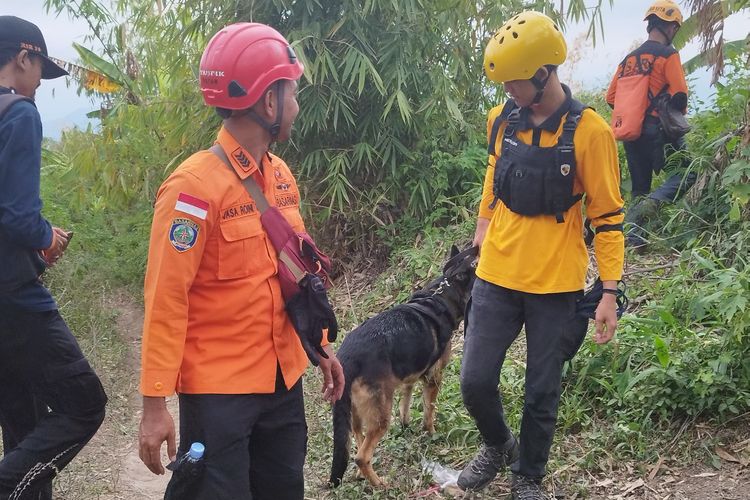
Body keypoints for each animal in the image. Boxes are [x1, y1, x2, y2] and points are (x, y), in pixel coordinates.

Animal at [330, 246, 482, 488]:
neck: (441, 296)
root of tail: (347, 357)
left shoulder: (407, 380)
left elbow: (406, 404)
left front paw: (406, 425)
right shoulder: (434, 378)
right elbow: (429, 409)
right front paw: (430, 432)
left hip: (356, 413)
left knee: (358, 439)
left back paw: (363, 475)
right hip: (381, 415)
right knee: (361, 456)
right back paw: (379, 483)